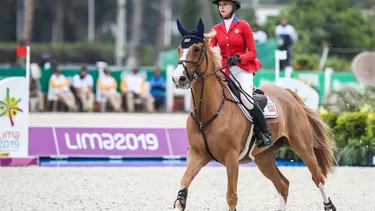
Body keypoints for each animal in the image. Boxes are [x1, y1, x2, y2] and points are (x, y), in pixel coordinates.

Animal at [170, 18, 338, 211]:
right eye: (179, 49)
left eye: (196, 49)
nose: (178, 78)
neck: (207, 112)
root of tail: (288, 94)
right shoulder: (197, 155)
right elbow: (183, 188)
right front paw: (181, 198)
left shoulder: (231, 158)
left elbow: (231, 197)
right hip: (264, 158)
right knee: (283, 184)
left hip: (303, 147)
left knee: (317, 177)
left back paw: (329, 205)